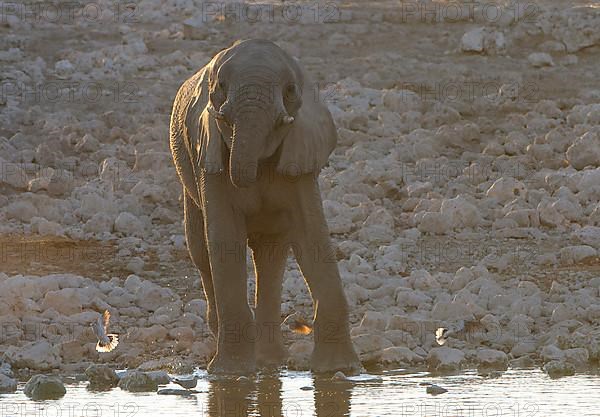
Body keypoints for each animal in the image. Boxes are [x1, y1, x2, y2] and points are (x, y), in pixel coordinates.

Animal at [169, 39, 358, 374]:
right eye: (220, 87)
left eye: (290, 90)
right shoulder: (209, 156)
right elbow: (225, 238)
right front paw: (232, 374)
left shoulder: (301, 153)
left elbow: (312, 235)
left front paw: (339, 370)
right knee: (201, 251)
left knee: (272, 257)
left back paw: (270, 362)